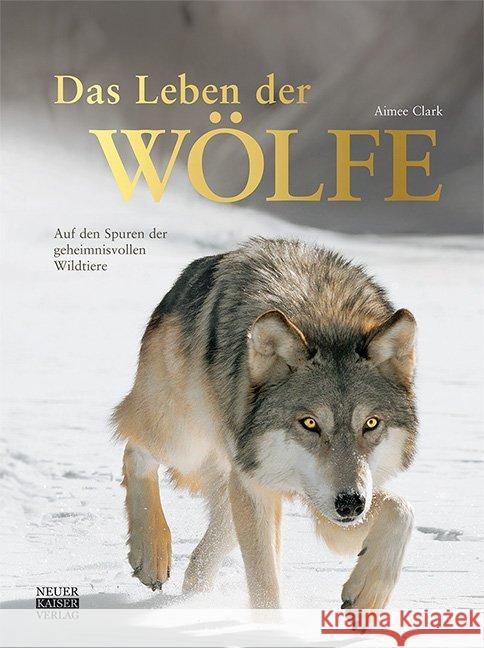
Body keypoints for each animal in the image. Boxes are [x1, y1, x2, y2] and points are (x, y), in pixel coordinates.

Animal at [114, 238, 416, 608]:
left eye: (371, 423)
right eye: (310, 423)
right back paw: (151, 553)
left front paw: (368, 593)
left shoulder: (332, 506)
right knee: (134, 449)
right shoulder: (257, 486)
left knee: (210, 545)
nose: (350, 503)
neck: (324, 316)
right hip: (184, 442)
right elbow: (264, 586)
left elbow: (401, 510)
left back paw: (193, 598)